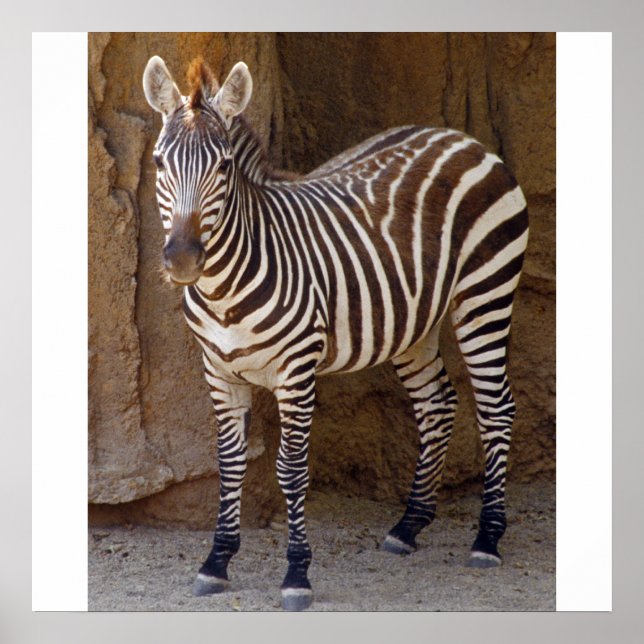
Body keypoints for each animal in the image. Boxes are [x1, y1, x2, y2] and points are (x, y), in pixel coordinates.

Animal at [142, 55, 529, 611]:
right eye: (158, 164)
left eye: (223, 168)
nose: (182, 260)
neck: (224, 291)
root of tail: (463, 140)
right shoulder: (218, 372)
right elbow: (230, 463)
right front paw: (216, 562)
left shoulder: (297, 372)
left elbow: (291, 469)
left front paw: (297, 574)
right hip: (412, 319)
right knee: (437, 403)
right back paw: (408, 526)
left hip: (486, 293)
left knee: (496, 407)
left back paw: (488, 537)